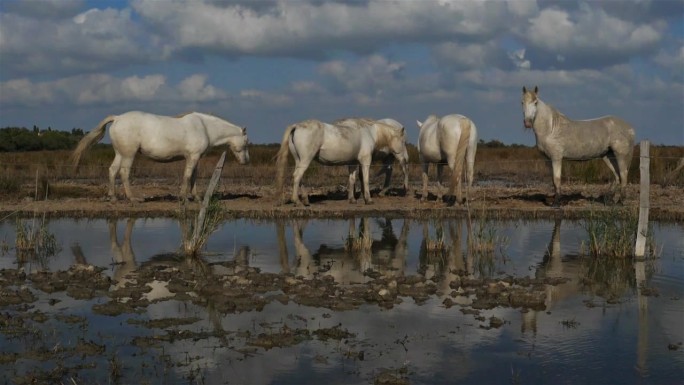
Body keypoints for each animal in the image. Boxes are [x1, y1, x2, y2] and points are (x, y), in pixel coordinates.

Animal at [71, 110, 251, 201]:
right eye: (246, 141)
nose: (246, 161)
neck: (205, 127)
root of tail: (117, 118)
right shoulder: (192, 157)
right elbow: (187, 176)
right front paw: (183, 197)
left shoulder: (195, 158)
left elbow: (193, 176)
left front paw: (196, 197)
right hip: (129, 154)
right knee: (124, 172)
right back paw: (133, 198)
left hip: (120, 153)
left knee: (112, 170)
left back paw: (113, 197)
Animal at [276, 118, 408, 206]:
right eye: (403, 141)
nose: (405, 159)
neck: (370, 132)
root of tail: (297, 126)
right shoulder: (365, 161)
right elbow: (365, 179)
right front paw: (368, 199)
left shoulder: (353, 163)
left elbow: (352, 180)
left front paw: (352, 199)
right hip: (305, 160)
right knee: (297, 176)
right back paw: (297, 201)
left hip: (299, 160)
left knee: (299, 178)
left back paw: (305, 200)